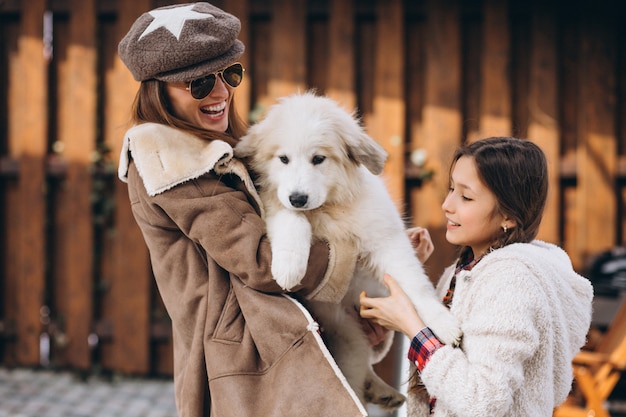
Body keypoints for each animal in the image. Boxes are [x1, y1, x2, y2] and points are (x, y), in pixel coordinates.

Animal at [234, 92, 458, 410]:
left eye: (318, 159)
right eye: (283, 159)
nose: (298, 197)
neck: (325, 209)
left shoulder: (385, 238)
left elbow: (415, 285)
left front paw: (442, 323)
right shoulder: (272, 203)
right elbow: (291, 219)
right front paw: (289, 267)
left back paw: (382, 391)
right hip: (347, 339)